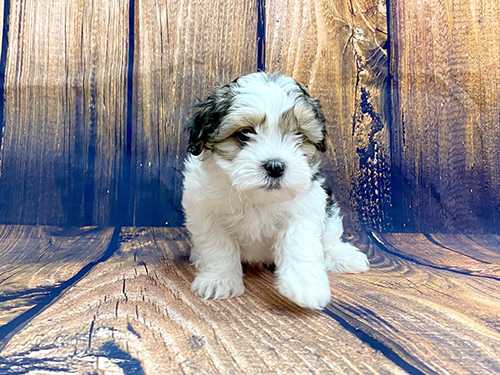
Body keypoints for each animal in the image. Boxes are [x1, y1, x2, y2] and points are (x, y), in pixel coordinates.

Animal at [182, 72, 370, 310]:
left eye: (299, 135)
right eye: (244, 134)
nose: (275, 166)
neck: (257, 197)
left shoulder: (305, 208)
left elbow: (300, 244)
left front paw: (306, 286)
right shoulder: (205, 210)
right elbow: (217, 246)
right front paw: (219, 281)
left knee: (329, 238)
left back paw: (342, 256)